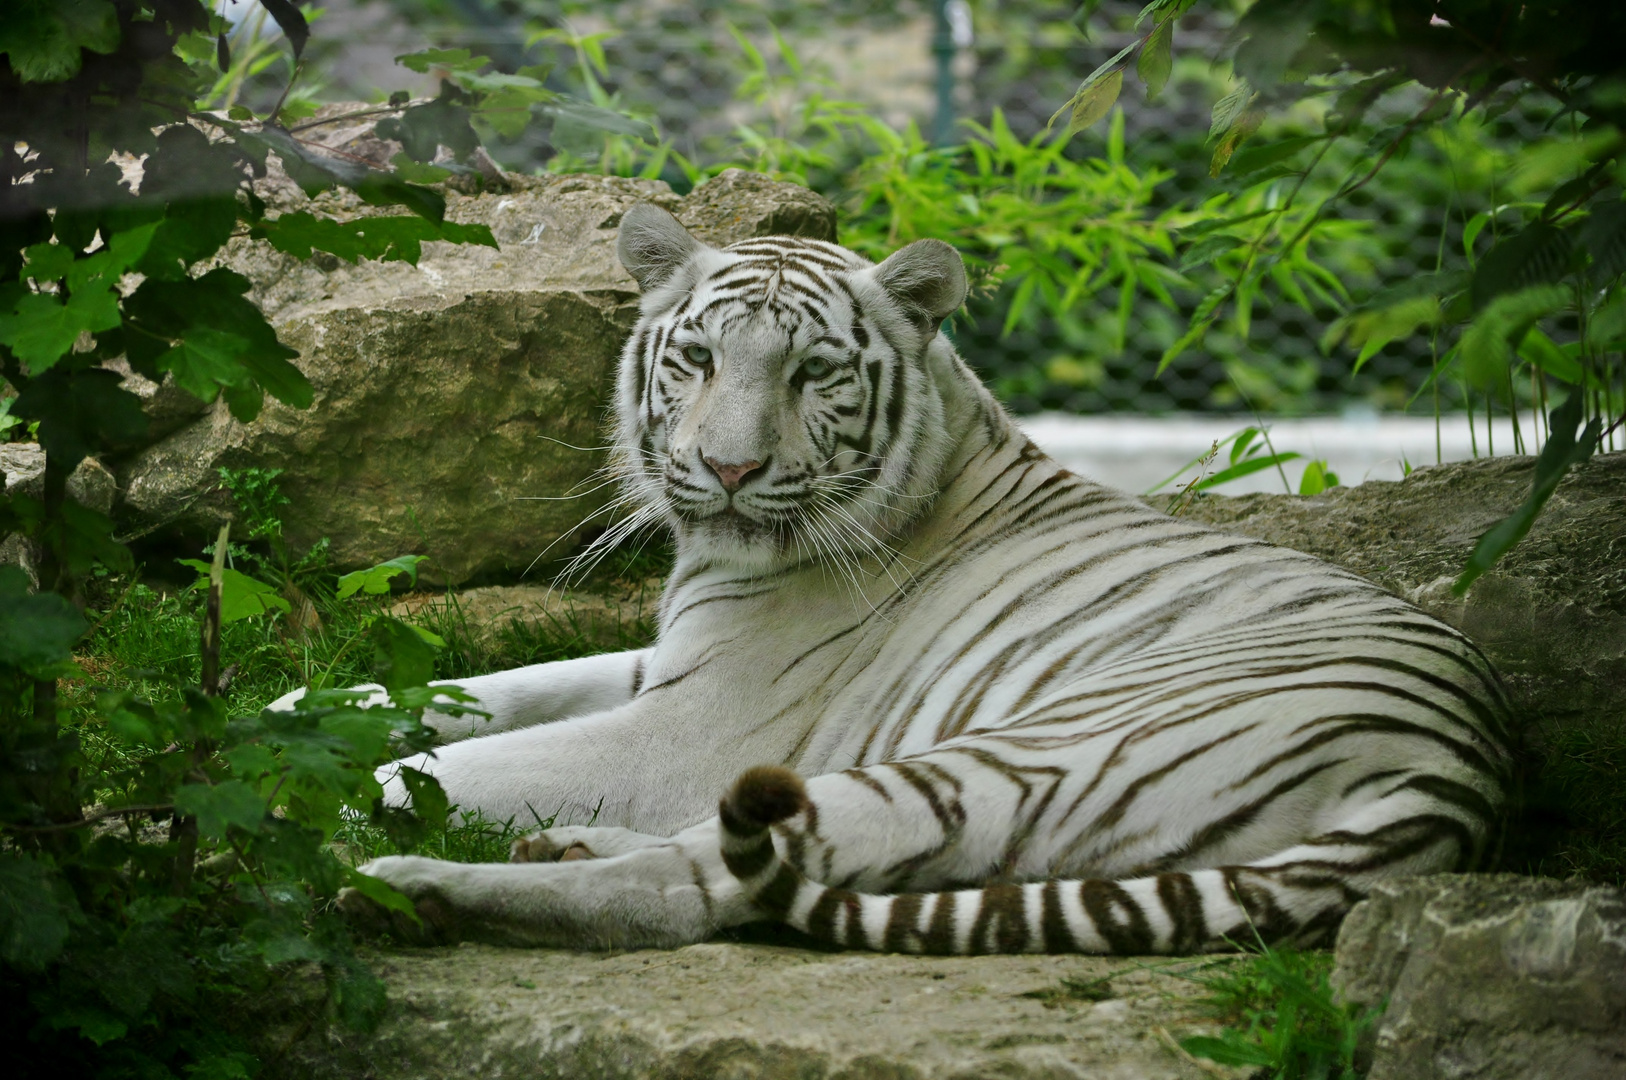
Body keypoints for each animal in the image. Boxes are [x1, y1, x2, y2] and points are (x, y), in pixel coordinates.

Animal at [295, 206, 1508, 956]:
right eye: (698, 359)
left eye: (812, 372)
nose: (727, 470)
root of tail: (1459, 776)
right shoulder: (659, 663)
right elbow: (492, 689)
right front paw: (303, 705)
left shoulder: (689, 730)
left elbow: (453, 762)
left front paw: (311, 777)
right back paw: (558, 845)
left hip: (1003, 758)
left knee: (694, 891)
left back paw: (417, 888)